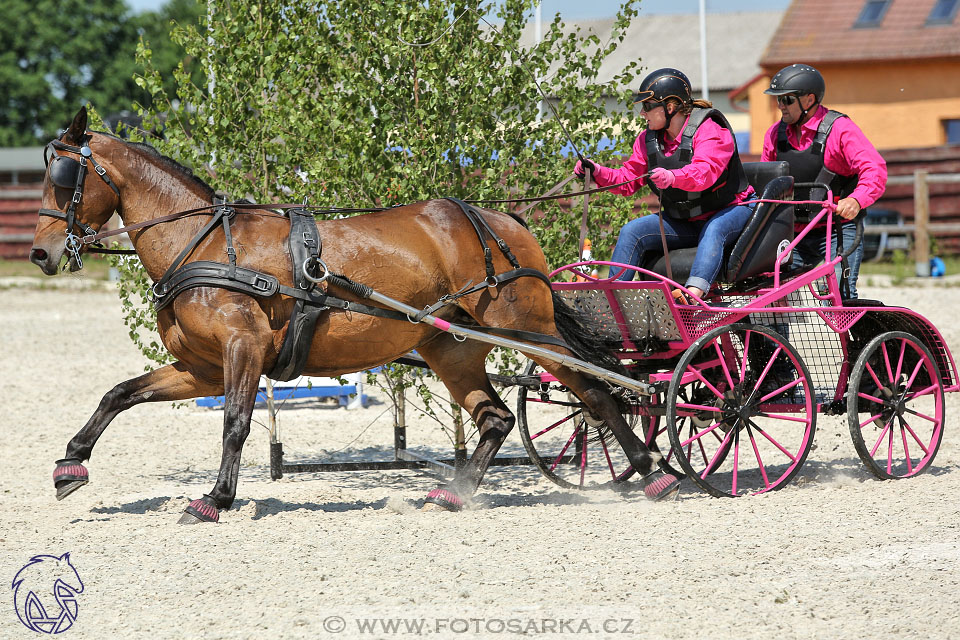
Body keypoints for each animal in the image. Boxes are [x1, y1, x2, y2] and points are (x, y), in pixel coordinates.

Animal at [30, 107, 684, 524]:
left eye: (63, 176)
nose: (40, 253)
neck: (206, 245)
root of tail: (501, 219)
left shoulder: (242, 349)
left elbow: (236, 422)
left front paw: (214, 498)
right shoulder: (201, 368)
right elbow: (120, 393)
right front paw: (70, 465)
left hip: (529, 331)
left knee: (595, 392)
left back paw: (654, 469)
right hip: (451, 347)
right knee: (497, 417)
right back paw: (456, 493)